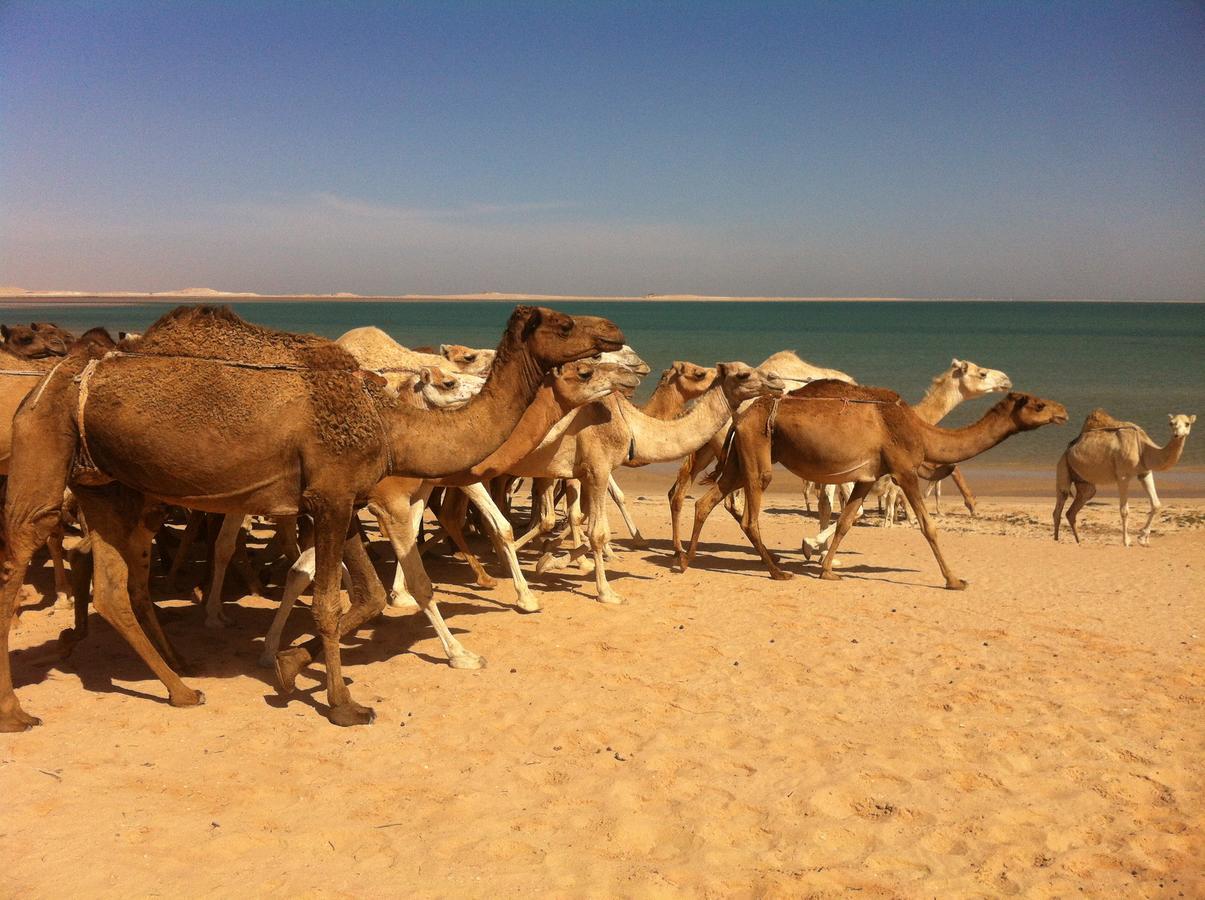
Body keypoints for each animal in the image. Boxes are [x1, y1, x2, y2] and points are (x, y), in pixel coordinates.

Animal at [0, 302, 621, 732]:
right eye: (565, 324)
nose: (614, 332)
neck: (390, 422)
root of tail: (51, 381)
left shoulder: (341, 497)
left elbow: (368, 596)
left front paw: (290, 664)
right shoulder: (330, 498)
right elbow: (328, 602)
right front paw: (344, 704)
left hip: (108, 486)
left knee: (112, 582)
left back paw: (180, 684)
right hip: (47, 447)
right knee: (22, 550)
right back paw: (17, 711)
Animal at [503, 363, 785, 604]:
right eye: (743, 375)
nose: (777, 381)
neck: (629, 422)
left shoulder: (583, 472)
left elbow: (583, 518)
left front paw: (550, 561)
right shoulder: (596, 468)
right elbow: (594, 529)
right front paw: (606, 592)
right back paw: (522, 592)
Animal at [684, 383, 1070, 587]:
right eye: (1039, 404)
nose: (1063, 412)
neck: (921, 431)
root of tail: (740, 418)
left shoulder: (866, 479)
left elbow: (845, 522)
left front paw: (827, 571)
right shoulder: (903, 470)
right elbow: (928, 526)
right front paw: (954, 580)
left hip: (740, 457)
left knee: (705, 501)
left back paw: (685, 562)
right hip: (757, 451)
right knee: (749, 514)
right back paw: (778, 571)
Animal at [1055, 412, 1195, 544]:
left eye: (1187, 423)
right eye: (1171, 423)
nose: (1177, 434)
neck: (1143, 447)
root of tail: (1068, 449)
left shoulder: (1145, 472)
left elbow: (1156, 504)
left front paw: (1143, 539)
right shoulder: (1122, 476)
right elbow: (1124, 510)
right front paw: (1126, 541)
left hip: (1083, 482)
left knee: (1075, 507)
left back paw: (1078, 541)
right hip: (1063, 465)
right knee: (1060, 503)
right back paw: (1056, 540)